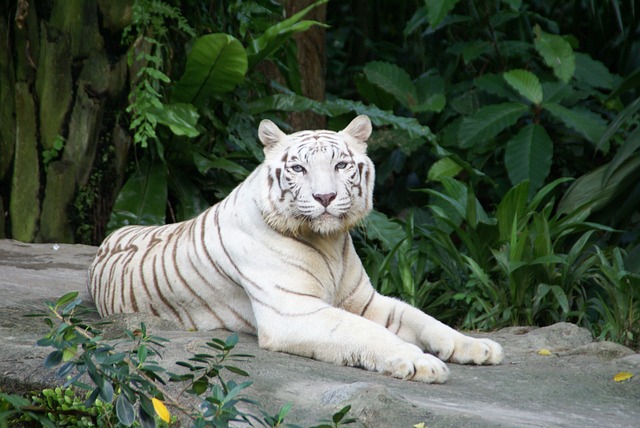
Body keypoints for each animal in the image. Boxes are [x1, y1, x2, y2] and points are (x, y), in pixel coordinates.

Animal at [86, 115, 504, 382]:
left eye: (341, 165)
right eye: (299, 169)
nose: (325, 197)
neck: (330, 242)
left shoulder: (364, 300)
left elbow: (426, 321)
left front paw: (479, 347)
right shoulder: (294, 310)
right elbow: (369, 333)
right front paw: (419, 363)